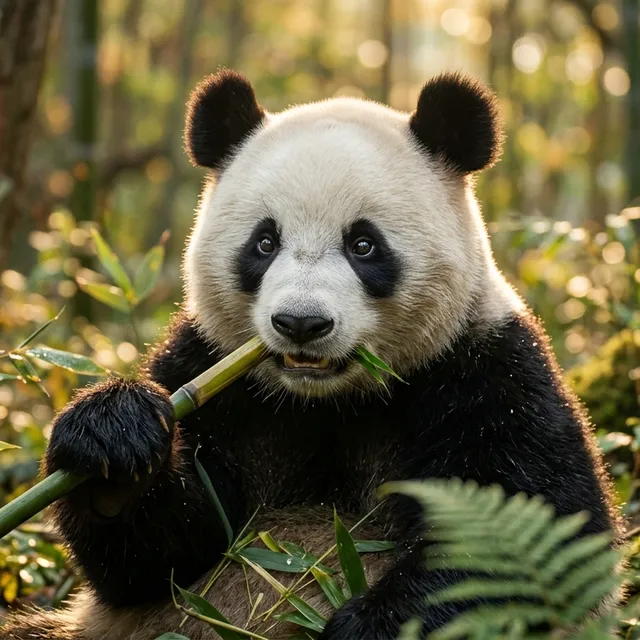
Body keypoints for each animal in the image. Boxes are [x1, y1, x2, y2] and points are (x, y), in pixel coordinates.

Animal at [1, 69, 622, 640]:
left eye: (364, 244)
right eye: (264, 242)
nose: (301, 323)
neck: (327, 402)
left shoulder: (486, 372)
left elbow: (528, 545)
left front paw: (361, 627)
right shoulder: (208, 371)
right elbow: (153, 561)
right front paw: (114, 440)